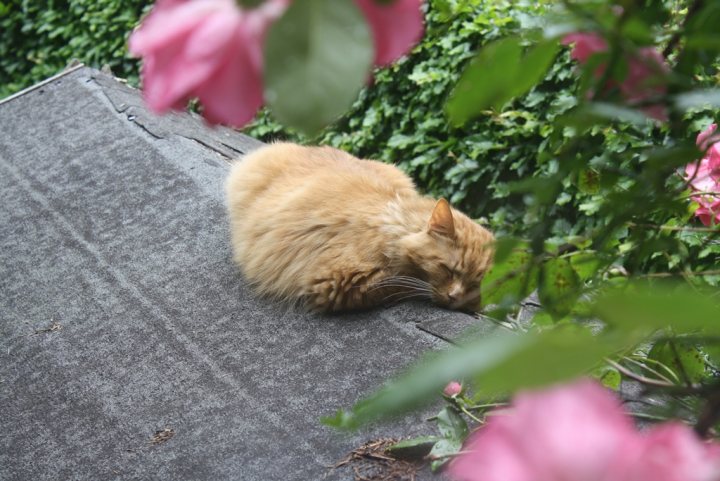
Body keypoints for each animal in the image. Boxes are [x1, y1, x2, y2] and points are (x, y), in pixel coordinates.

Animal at [225, 142, 496, 314]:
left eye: (474, 284)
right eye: (448, 270)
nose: (455, 297)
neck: (393, 224)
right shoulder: (339, 281)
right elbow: (402, 283)